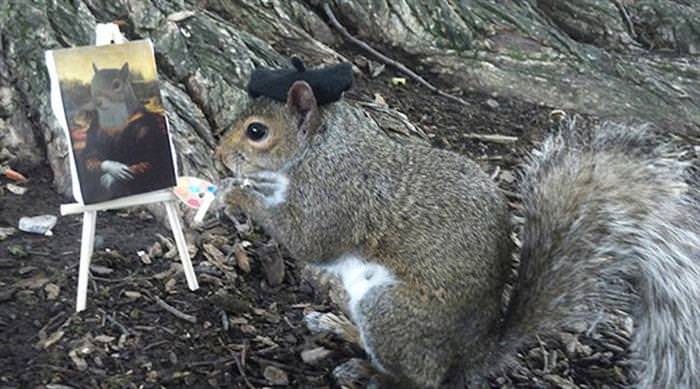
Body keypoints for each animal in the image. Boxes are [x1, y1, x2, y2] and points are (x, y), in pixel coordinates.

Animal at [216, 80, 696, 386]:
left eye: (257, 131)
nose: (220, 154)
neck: (318, 149)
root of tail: (469, 357)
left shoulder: (335, 197)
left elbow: (309, 240)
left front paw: (236, 194)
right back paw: (340, 327)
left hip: (391, 310)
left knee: (420, 381)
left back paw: (371, 373)